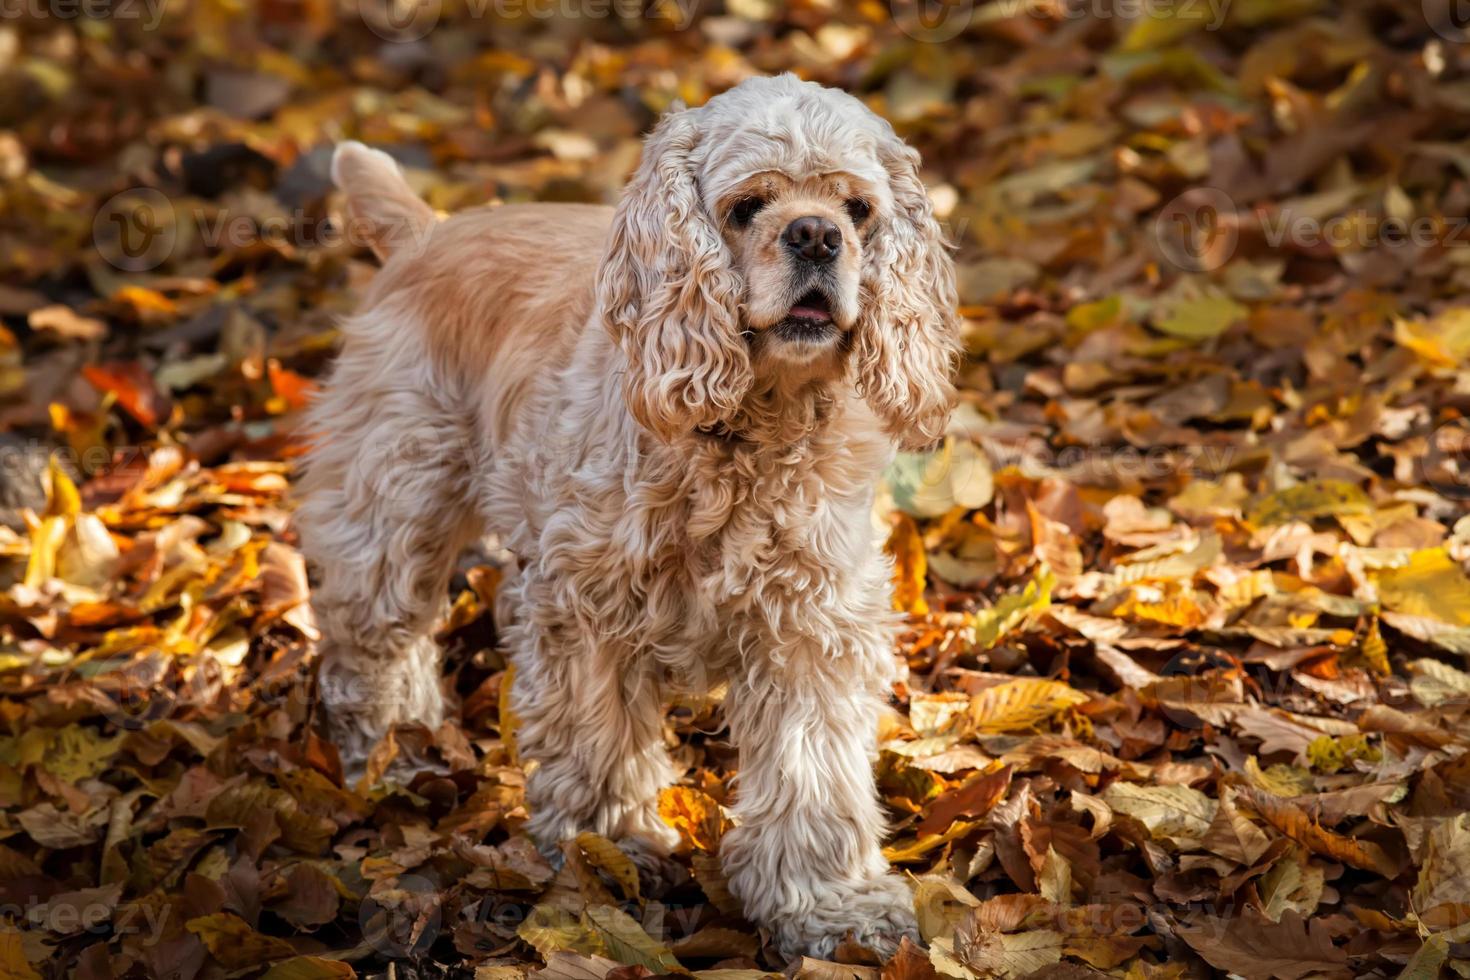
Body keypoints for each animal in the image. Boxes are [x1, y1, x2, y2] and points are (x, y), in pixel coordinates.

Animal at [298, 74, 964, 957]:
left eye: (857, 209)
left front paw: (830, 905)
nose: (817, 235)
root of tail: (426, 232)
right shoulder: (585, 607)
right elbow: (598, 741)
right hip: (394, 508)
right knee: (368, 656)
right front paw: (609, 849)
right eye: (747, 206)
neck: (749, 431)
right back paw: (394, 766)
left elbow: (812, 772)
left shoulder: (811, 623)